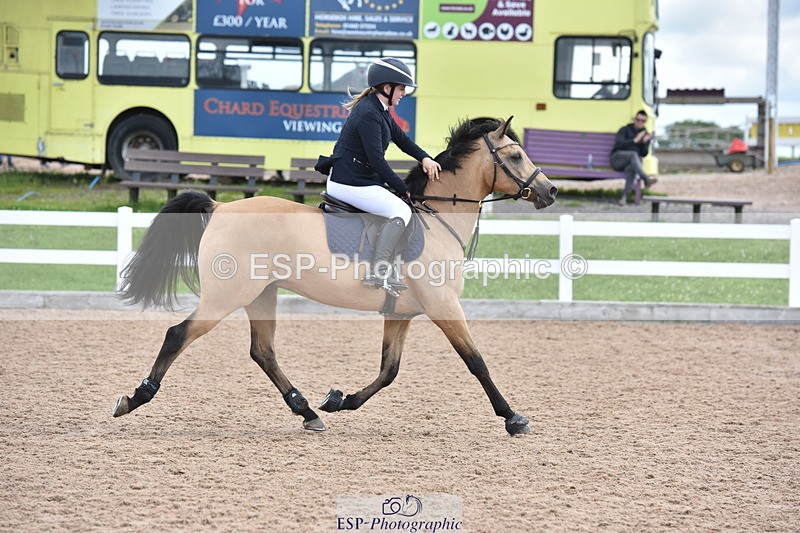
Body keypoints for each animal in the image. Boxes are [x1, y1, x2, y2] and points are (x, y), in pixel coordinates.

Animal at [112, 116, 558, 435]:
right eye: (515, 156)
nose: (550, 192)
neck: (438, 219)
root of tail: (220, 207)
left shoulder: (400, 313)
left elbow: (389, 371)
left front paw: (340, 400)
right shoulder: (442, 304)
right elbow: (476, 361)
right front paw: (513, 417)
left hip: (261, 294)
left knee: (263, 351)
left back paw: (308, 411)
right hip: (227, 296)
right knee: (179, 335)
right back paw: (135, 398)